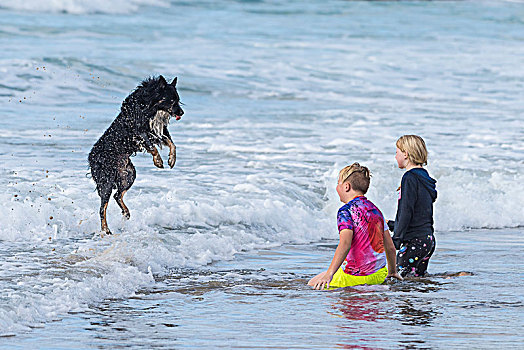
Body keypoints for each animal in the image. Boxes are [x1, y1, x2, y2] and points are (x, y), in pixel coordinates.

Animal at [90, 76, 186, 235]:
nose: (182, 112)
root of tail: (90, 157)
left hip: (129, 174)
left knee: (117, 195)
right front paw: (159, 161)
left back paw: (126, 213)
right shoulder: (139, 130)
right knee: (103, 207)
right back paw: (106, 229)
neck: (150, 105)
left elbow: (171, 143)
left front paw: (171, 160)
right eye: (172, 100)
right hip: (106, 180)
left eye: (178, 99)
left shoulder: (157, 130)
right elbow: (152, 147)